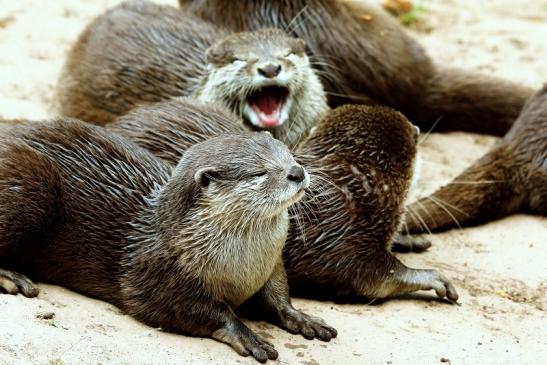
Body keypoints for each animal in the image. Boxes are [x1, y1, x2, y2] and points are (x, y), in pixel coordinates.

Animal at [0, 119, 338, 362]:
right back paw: (11, 277)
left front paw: (302, 318)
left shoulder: (271, 263)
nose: (297, 171)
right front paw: (246, 334)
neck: (242, 266)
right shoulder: (154, 275)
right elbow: (201, 310)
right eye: (258, 173)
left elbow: (278, 293)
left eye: (286, 152)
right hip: (30, 182)